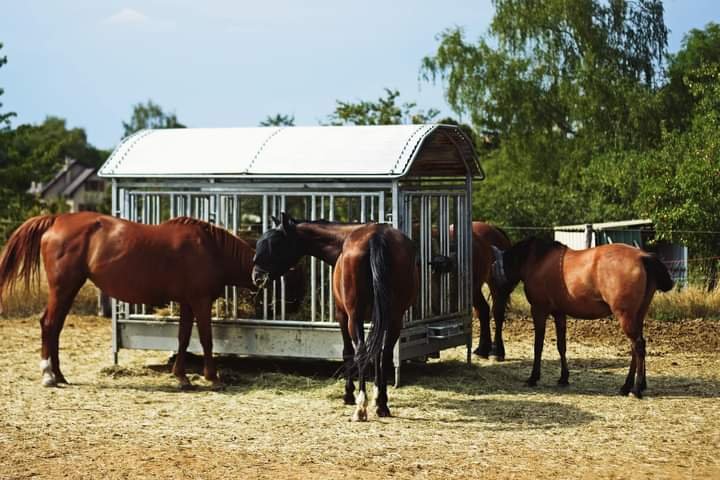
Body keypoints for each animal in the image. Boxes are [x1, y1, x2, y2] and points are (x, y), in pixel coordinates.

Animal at [0, 212, 301, 389]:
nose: (260, 278)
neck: (210, 249)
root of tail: (56, 220)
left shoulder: (188, 303)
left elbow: (183, 338)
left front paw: (182, 377)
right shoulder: (201, 301)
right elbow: (206, 339)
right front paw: (212, 378)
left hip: (69, 288)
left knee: (55, 327)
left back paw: (60, 375)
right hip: (63, 287)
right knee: (49, 324)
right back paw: (48, 376)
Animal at [252, 213, 418, 421]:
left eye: (275, 243)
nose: (257, 277)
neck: (343, 240)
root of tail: (376, 237)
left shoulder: (342, 315)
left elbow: (348, 352)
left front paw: (349, 394)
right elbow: (377, 353)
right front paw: (377, 398)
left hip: (354, 317)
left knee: (360, 352)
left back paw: (360, 407)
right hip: (395, 318)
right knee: (385, 353)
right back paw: (382, 405)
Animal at [491, 237, 674, 398]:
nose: (497, 306)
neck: (537, 261)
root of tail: (642, 256)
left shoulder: (539, 310)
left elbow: (538, 346)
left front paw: (533, 377)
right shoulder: (559, 313)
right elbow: (561, 346)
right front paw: (563, 378)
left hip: (625, 315)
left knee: (638, 345)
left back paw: (635, 389)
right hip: (637, 315)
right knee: (636, 347)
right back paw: (629, 386)